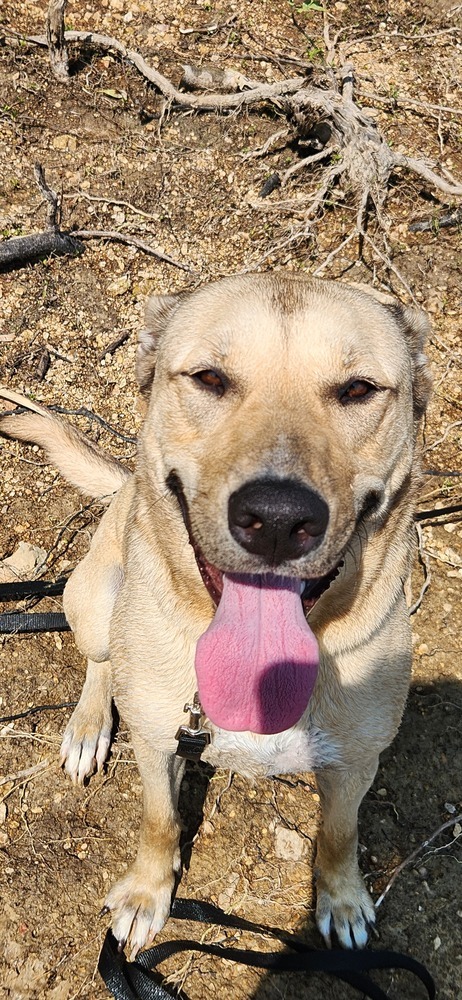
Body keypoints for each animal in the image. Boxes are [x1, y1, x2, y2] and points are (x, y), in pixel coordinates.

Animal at [0, 276, 434, 960]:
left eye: (358, 390)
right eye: (209, 378)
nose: (277, 518)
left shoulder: (358, 761)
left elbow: (341, 834)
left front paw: (342, 900)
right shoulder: (157, 742)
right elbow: (158, 820)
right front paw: (146, 894)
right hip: (94, 599)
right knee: (100, 661)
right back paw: (89, 724)